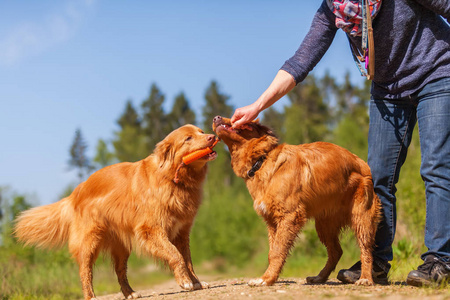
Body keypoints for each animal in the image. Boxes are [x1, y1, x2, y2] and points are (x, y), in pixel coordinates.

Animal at [14, 124, 218, 300]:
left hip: (121, 247)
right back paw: (91, 296)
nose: (212, 136)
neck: (173, 179)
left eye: (201, 131)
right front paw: (185, 282)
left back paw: (130, 293)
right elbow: (175, 255)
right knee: (85, 272)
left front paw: (196, 282)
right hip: (90, 242)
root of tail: (74, 193)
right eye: (188, 138)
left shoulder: (182, 233)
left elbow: (188, 260)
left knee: (120, 271)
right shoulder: (152, 230)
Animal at [213, 115, 382, 286]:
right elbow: (271, 252)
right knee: (336, 251)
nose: (216, 117)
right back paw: (320, 277)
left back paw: (365, 278)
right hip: (324, 225)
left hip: (362, 218)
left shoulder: (289, 216)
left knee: (367, 250)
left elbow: (277, 251)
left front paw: (266, 279)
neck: (261, 161)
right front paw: (270, 277)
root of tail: (362, 163)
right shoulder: (271, 220)